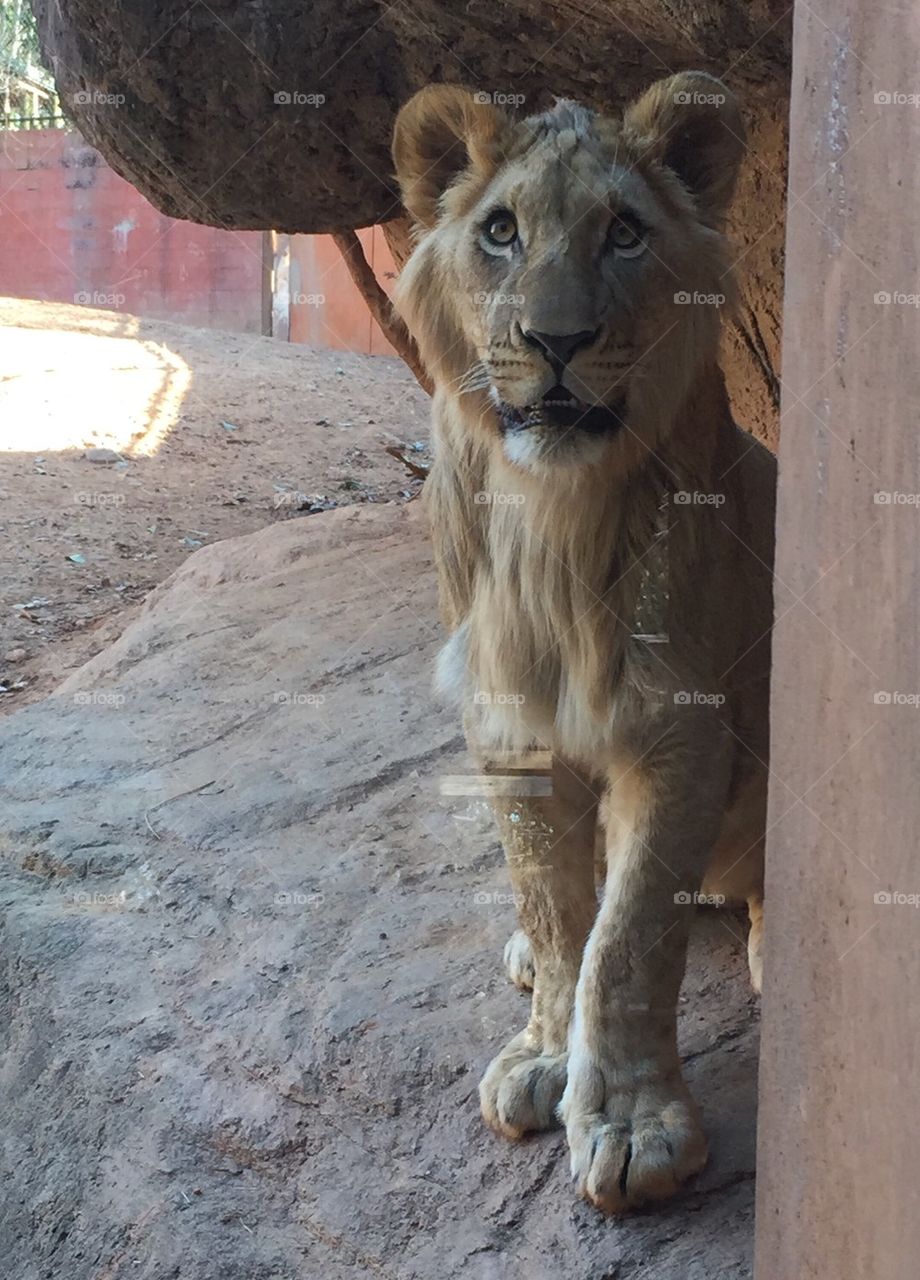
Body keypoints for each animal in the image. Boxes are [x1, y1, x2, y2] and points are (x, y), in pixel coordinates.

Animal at [391, 71, 775, 1215]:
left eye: (624, 233)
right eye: (500, 231)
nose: (554, 341)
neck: (549, 525)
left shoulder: (680, 731)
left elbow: (629, 940)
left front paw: (635, 1122)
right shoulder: (506, 724)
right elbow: (559, 911)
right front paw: (542, 1053)